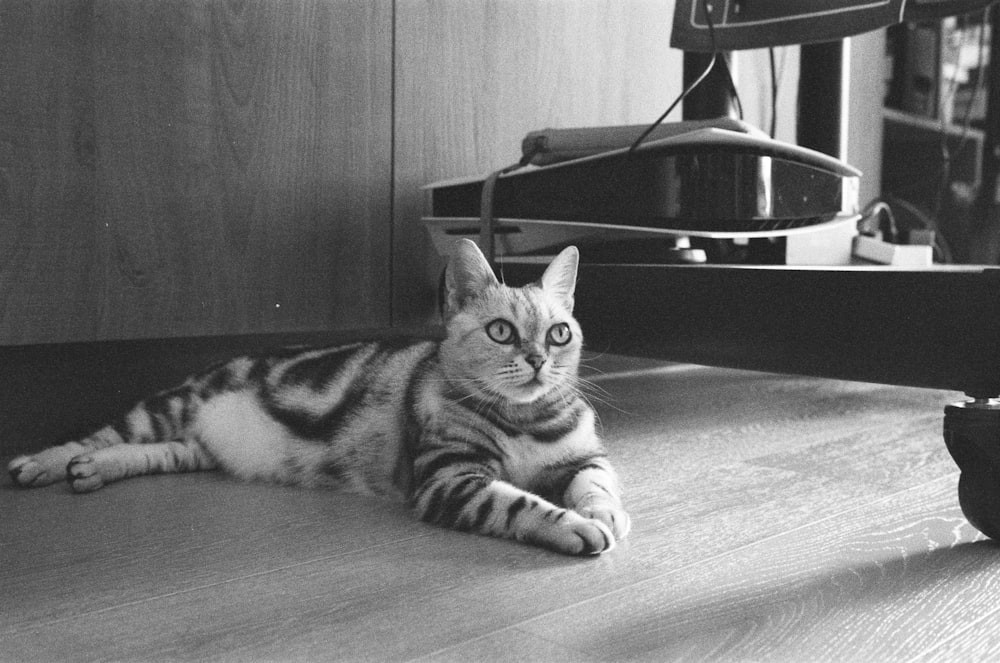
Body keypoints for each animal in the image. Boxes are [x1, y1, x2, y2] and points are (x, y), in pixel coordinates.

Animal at [7, 239, 628, 556]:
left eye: (559, 333)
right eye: (501, 331)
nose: (539, 359)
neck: (528, 421)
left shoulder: (584, 457)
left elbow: (596, 483)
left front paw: (603, 512)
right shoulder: (449, 479)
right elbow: (519, 503)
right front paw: (574, 526)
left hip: (190, 448)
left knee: (146, 452)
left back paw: (94, 470)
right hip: (166, 407)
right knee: (100, 435)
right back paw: (43, 463)